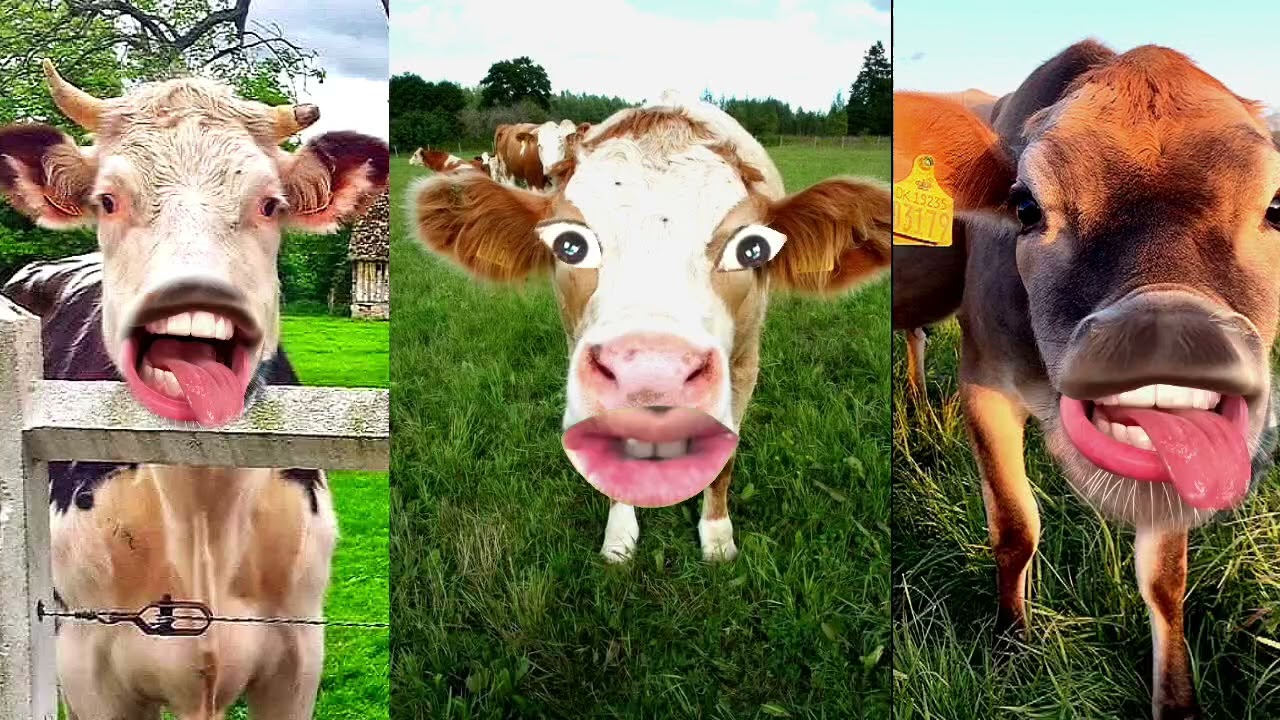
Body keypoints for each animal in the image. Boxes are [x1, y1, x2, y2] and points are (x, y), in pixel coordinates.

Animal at [411, 92, 890, 562]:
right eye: (570, 246)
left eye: (751, 249)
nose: (655, 371)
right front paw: (619, 538)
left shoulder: (745, 363)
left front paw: (717, 537)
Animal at [895, 41, 1280, 719]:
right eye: (1025, 206)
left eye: (1279, 207)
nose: (1167, 335)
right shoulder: (983, 382)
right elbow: (1016, 526)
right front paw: (1013, 644)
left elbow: (1165, 578)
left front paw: (1176, 699)